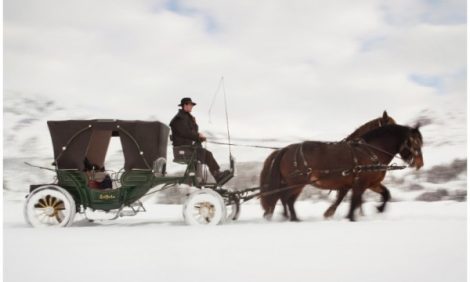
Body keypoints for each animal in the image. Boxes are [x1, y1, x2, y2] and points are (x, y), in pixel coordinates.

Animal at [258, 124, 424, 221]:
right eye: (415, 142)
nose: (420, 164)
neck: (371, 151)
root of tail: (285, 149)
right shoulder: (360, 183)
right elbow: (354, 201)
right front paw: (350, 218)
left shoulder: (371, 183)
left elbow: (385, 194)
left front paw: (379, 209)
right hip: (297, 183)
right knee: (285, 198)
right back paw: (291, 218)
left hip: (293, 183)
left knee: (284, 199)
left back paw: (289, 217)